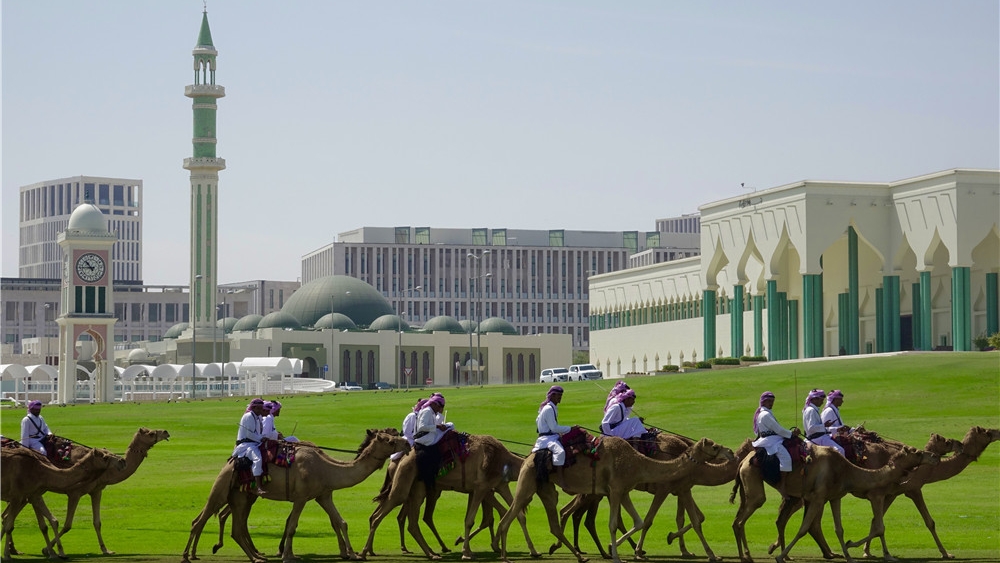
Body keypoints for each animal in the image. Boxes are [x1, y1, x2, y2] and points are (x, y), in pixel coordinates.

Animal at [182, 430, 408, 563]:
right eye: (389, 440)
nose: (406, 443)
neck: (326, 468)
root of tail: (231, 460)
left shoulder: (323, 495)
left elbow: (341, 522)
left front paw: (352, 554)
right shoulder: (301, 497)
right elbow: (292, 525)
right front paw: (288, 556)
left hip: (241, 495)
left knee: (235, 526)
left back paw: (256, 556)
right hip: (223, 487)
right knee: (201, 519)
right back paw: (187, 555)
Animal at [364, 432, 544, 560]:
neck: (501, 459)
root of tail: (402, 457)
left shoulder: (499, 485)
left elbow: (518, 515)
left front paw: (533, 551)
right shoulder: (482, 487)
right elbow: (470, 520)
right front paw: (466, 551)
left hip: (419, 487)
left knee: (411, 521)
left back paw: (431, 553)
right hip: (405, 482)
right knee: (382, 514)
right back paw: (365, 553)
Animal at [494, 438, 736, 563]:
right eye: (714, 446)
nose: (731, 452)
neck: (638, 462)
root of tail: (527, 458)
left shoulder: (623, 491)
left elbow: (639, 521)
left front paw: (616, 549)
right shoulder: (617, 489)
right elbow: (614, 524)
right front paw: (618, 555)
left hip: (544, 488)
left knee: (551, 521)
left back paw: (577, 555)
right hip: (528, 482)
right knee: (510, 517)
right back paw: (506, 557)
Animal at [728, 442, 936, 563]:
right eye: (917, 452)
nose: (933, 456)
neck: (847, 470)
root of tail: (742, 462)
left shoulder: (835, 497)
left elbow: (839, 529)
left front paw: (849, 556)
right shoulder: (818, 497)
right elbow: (803, 528)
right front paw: (779, 556)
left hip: (749, 487)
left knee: (740, 521)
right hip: (754, 482)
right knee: (743, 519)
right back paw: (747, 556)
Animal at [852, 428, 1000, 560]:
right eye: (987, 432)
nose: (960, 445)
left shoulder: (891, 493)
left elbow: (875, 521)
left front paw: (867, 551)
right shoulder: (910, 490)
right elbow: (929, 522)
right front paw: (945, 553)